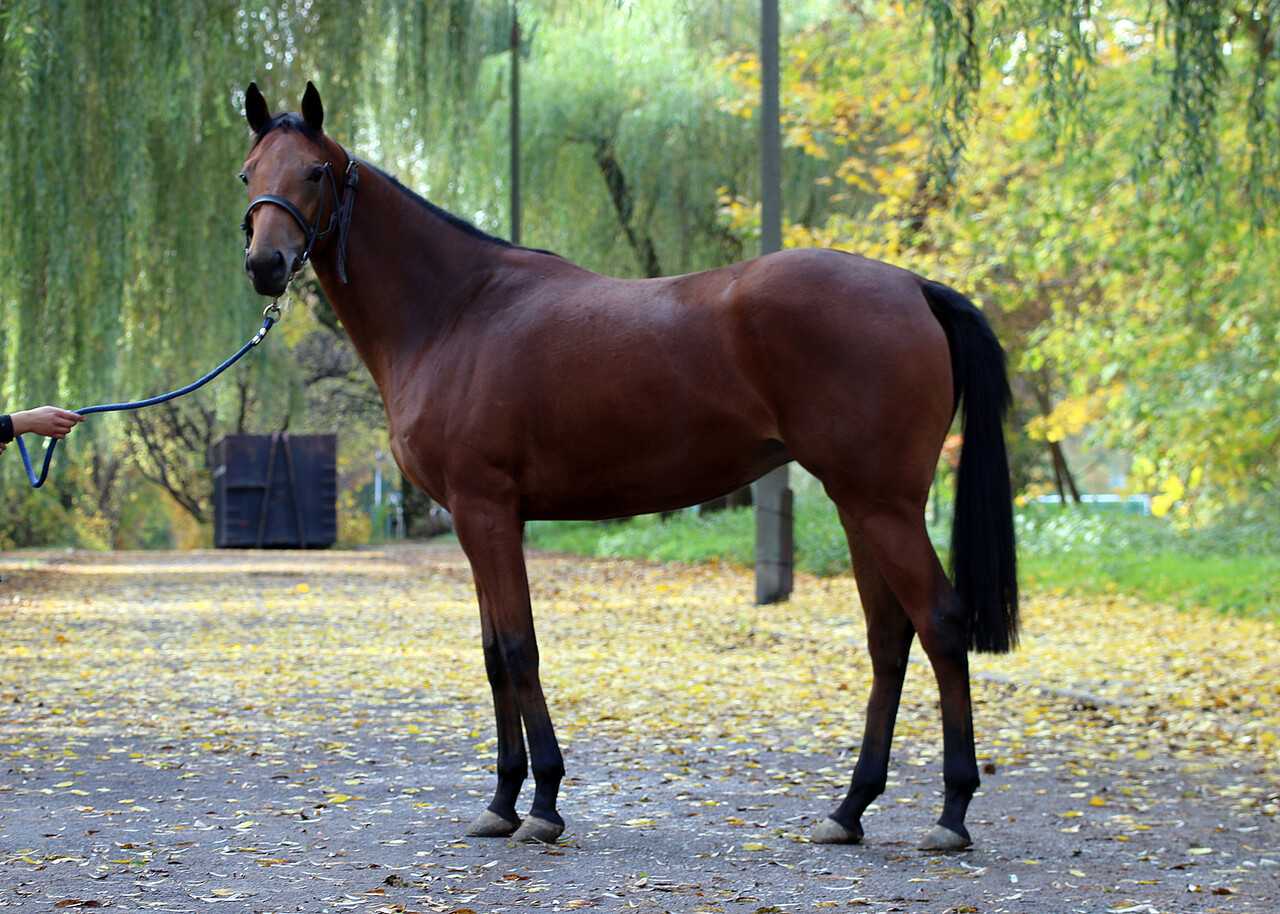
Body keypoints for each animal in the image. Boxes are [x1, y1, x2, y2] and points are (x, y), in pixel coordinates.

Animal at [238, 81, 1018, 851]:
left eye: (314, 172)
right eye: (249, 175)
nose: (264, 264)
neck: (457, 312)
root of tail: (914, 287)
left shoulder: (486, 511)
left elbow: (519, 647)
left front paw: (544, 802)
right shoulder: (474, 518)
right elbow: (493, 654)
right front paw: (501, 801)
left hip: (884, 505)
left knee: (941, 623)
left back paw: (951, 812)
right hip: (859, 505)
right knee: (889, 639)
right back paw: (849, 808)